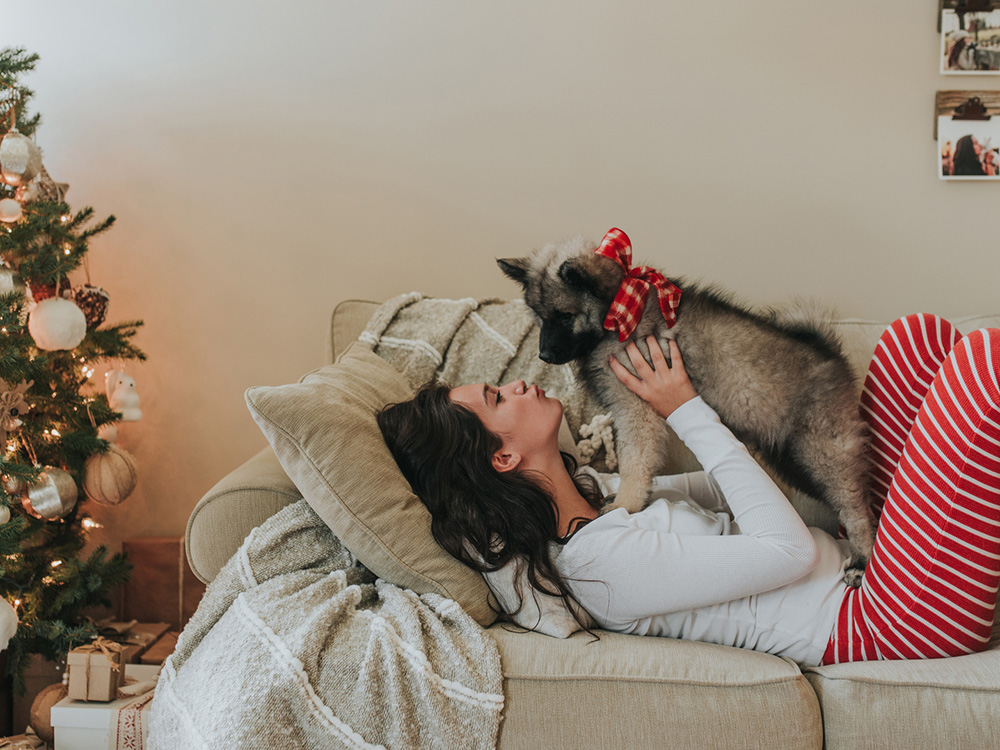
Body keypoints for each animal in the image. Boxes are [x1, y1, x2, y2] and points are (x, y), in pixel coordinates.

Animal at [498, 235, 876, 588]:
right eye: (539, 317)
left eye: (565, 315)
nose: (545, 355)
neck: (618, 309)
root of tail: (831, 355)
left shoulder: (635, 408)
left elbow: (634, 461)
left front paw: (625, 505)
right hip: (792, 461)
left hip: (821, 455)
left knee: (856, 509)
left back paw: (861, 561)